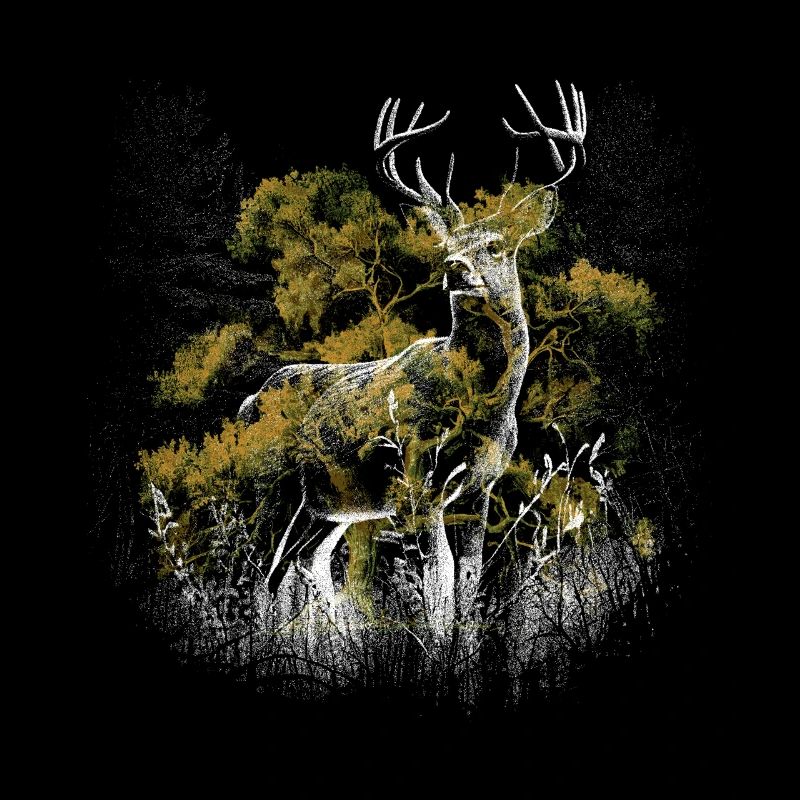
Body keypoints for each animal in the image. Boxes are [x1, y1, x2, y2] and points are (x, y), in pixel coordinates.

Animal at [238, 80, 587, 639]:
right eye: (447, 245)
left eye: (495, 245)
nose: (455, 268)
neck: (483, 407)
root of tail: (249, 403)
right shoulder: (418, 480)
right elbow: (439, 586)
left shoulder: (479, 487)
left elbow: (468, 581)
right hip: (271, 486)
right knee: (259, 570)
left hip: (330, 505)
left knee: (300, 565)